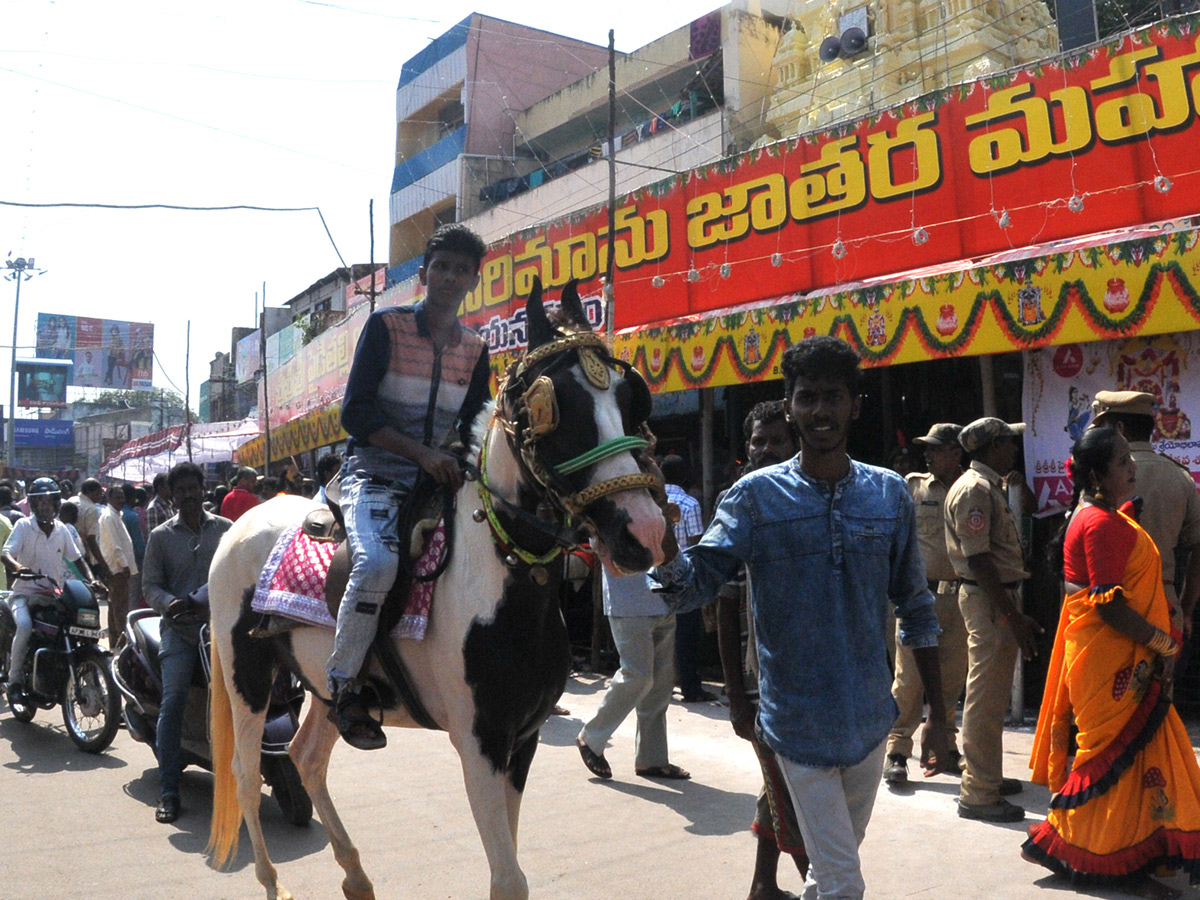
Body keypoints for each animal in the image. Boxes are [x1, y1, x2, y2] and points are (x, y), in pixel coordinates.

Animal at [210, 282, 672, 900]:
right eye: (558, 408)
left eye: (630, 399)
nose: (642, 530)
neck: (503, 584)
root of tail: (238, 526)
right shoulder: (478, 743)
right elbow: (510, 878)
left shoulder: (521, 742)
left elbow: (509, 864)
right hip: (247, 673)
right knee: (244, 771)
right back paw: (272, 882)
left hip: (326, 686)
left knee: (306, 758)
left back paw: (355, 874)